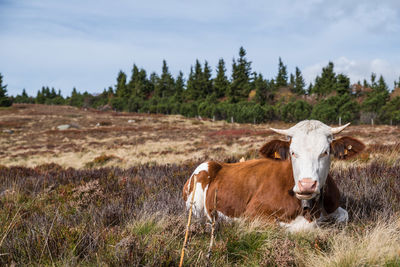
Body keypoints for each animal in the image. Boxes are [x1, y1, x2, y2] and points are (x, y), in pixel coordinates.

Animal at [183, 120, 364, 231]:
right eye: (292, 152)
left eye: (325, 152)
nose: (306, 185)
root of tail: (217, 163)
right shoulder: (252, 215)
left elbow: (344, 215)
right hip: (195, 202)